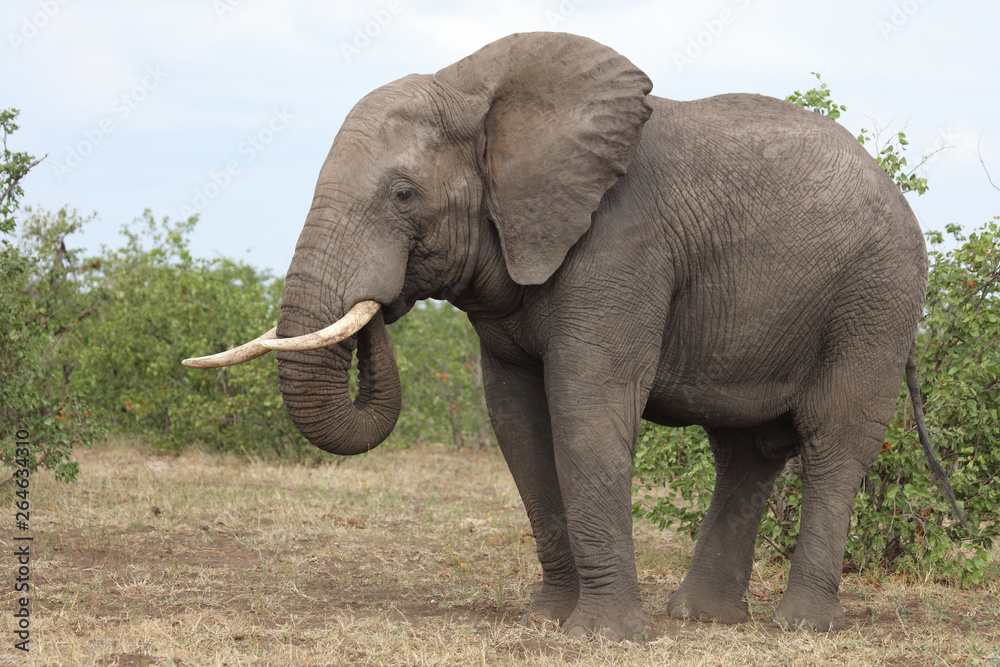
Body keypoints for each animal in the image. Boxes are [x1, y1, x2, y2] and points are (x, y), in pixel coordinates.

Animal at [183, 32, 964, 640]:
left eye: (403, 194)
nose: (382, 302)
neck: (476, 90)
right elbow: (519, 426)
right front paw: (547, 621)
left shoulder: (622, 245)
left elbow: (587, 410)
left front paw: (603, 635)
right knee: (745, 450)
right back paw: (699, 618)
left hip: (878, 293)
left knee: (835, 438)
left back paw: (802, 626)